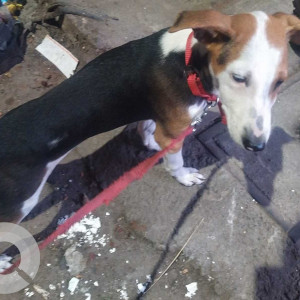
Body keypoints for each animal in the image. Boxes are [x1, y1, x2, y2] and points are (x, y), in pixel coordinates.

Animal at [0, 9, 300, 223]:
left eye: (279, 82)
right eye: (238, 78)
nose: (256, 146)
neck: (189, 64)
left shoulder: (159, 119)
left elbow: (149, 130)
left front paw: (152, 145)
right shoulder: (174, 130)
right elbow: (176, 161)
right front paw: (183, 176)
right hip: (20, 204)